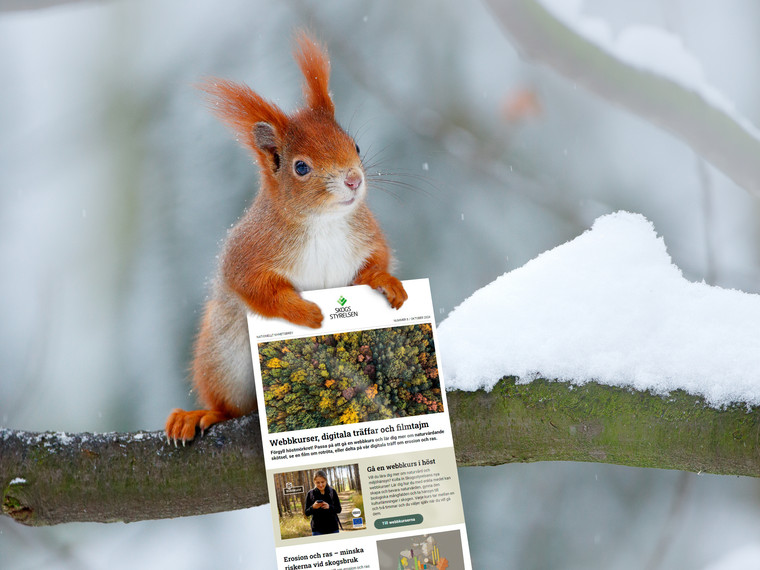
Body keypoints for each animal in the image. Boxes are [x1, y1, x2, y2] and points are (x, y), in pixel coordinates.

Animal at [163, 31, 406, 442]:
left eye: (355, 145)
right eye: (301, 167)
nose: (353, 180)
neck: (324, 223)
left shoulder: (366, 234)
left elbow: (379, 260)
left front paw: (384, 281)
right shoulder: (248, 251)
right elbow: (256, 288)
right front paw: (304, 312)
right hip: (222, 357)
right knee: (228, 407)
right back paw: (200, 415)